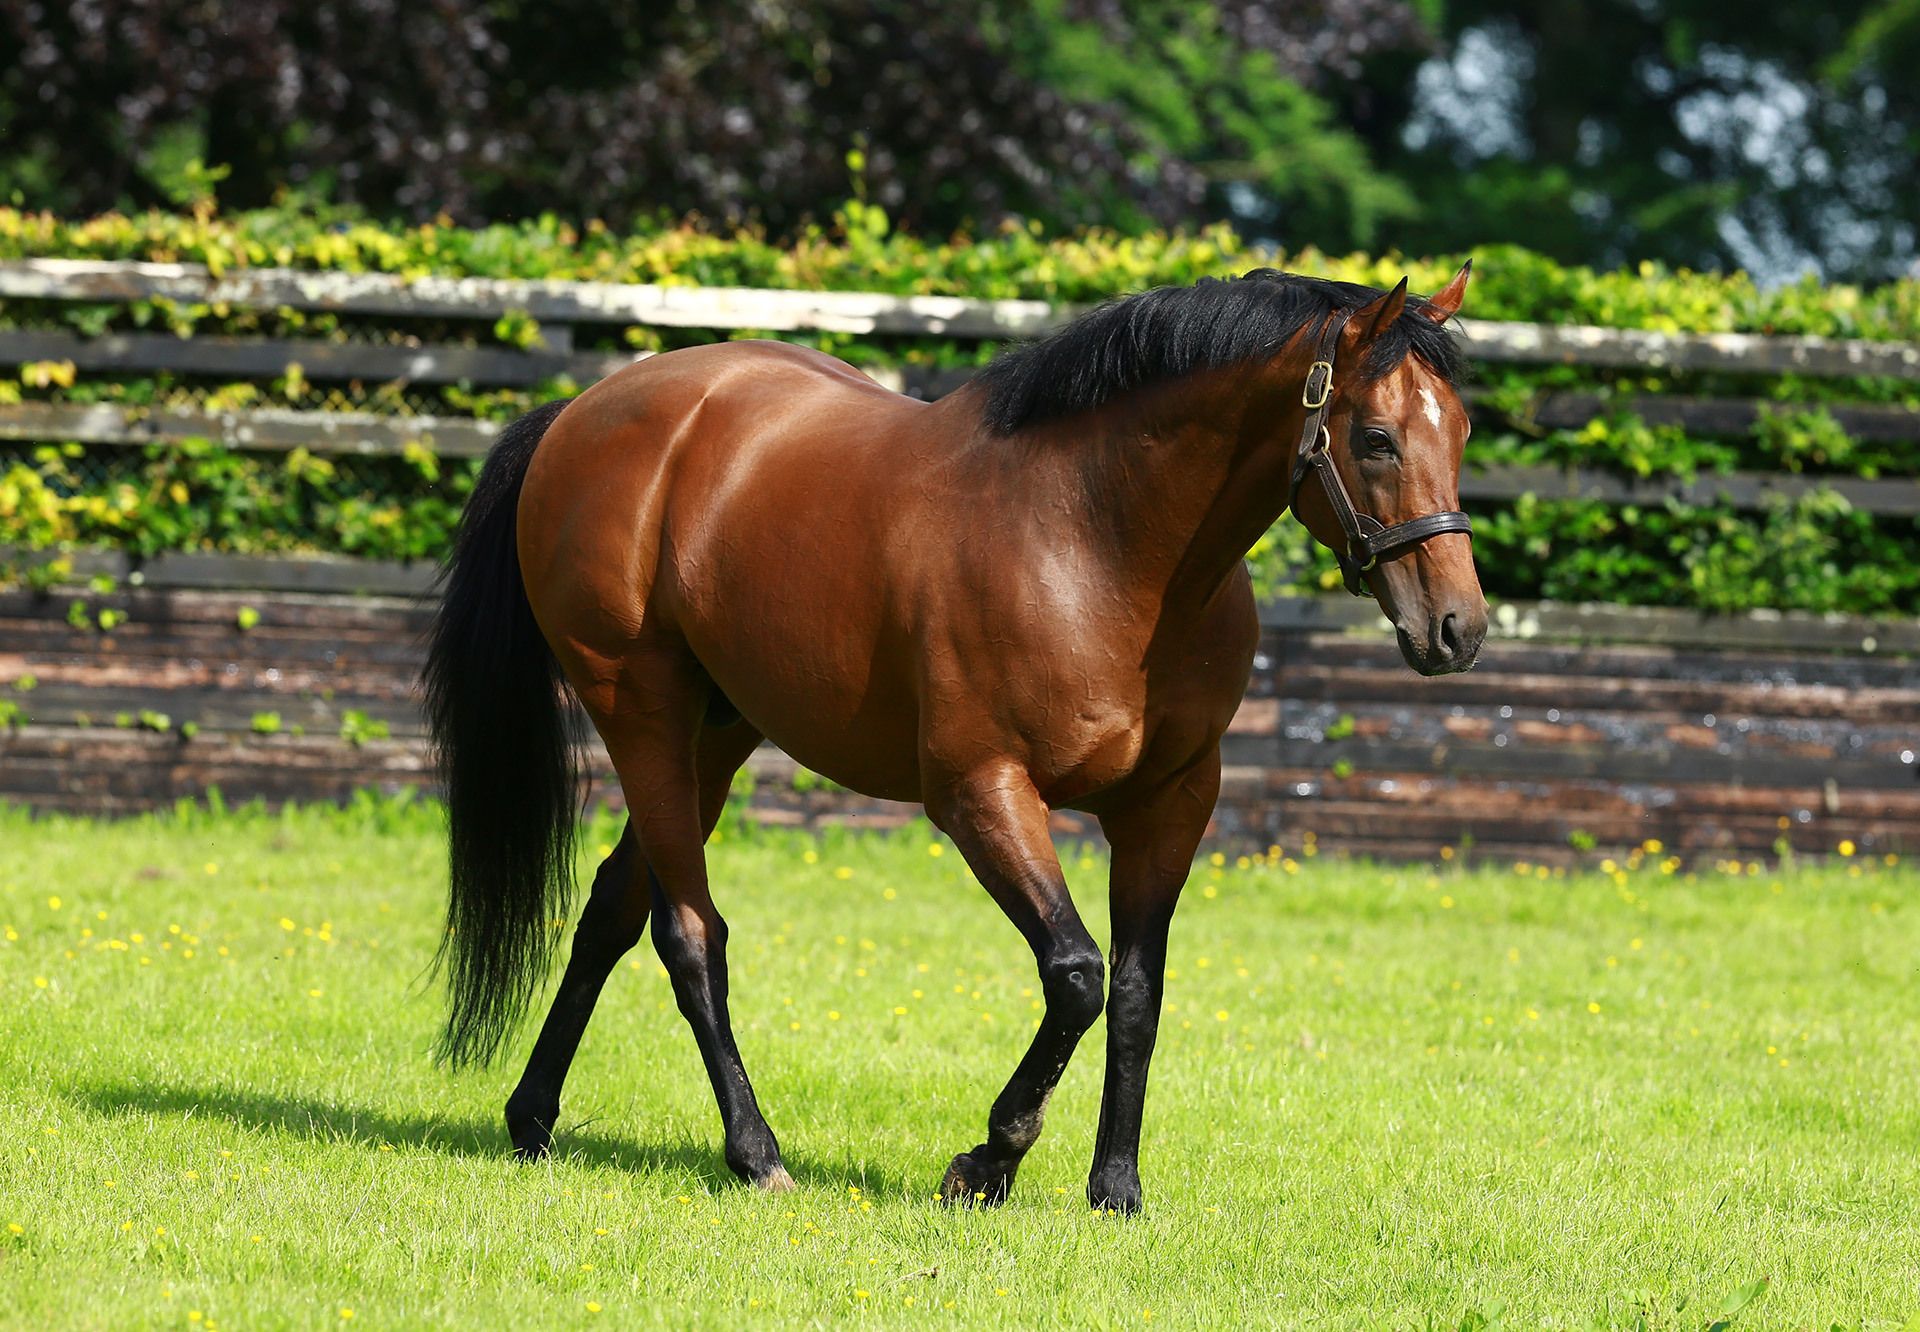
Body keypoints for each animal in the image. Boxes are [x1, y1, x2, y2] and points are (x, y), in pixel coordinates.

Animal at [422, 262, 1487, 1213]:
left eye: (1465, 430)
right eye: (1378, 438)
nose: (1458, 629)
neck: (1098, 541)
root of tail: (582, 411)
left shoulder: (1170, 806)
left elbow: (1137, 993)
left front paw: (1116, 1191)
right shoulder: (982, 792)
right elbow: (1076, 975)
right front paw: (988, 1163)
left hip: (714, 738)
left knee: (611, 907)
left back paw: (531, 1119)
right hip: (641, 713)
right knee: (688, 934)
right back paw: (755, 1153)